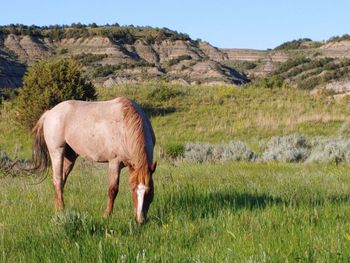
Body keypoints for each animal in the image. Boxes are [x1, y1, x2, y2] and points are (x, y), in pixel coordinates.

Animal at [31, 97, 157, 225]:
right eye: (132, 190)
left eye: (149, 191)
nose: (140, 220)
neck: (125, 125)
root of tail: (50, 113)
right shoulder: (115, 163)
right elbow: (112, 190)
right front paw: (107, 215)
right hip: (57, 153)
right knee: (57, 181)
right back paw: (61, 210)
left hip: (70, 157)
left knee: (61, 181)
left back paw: (56, 208)